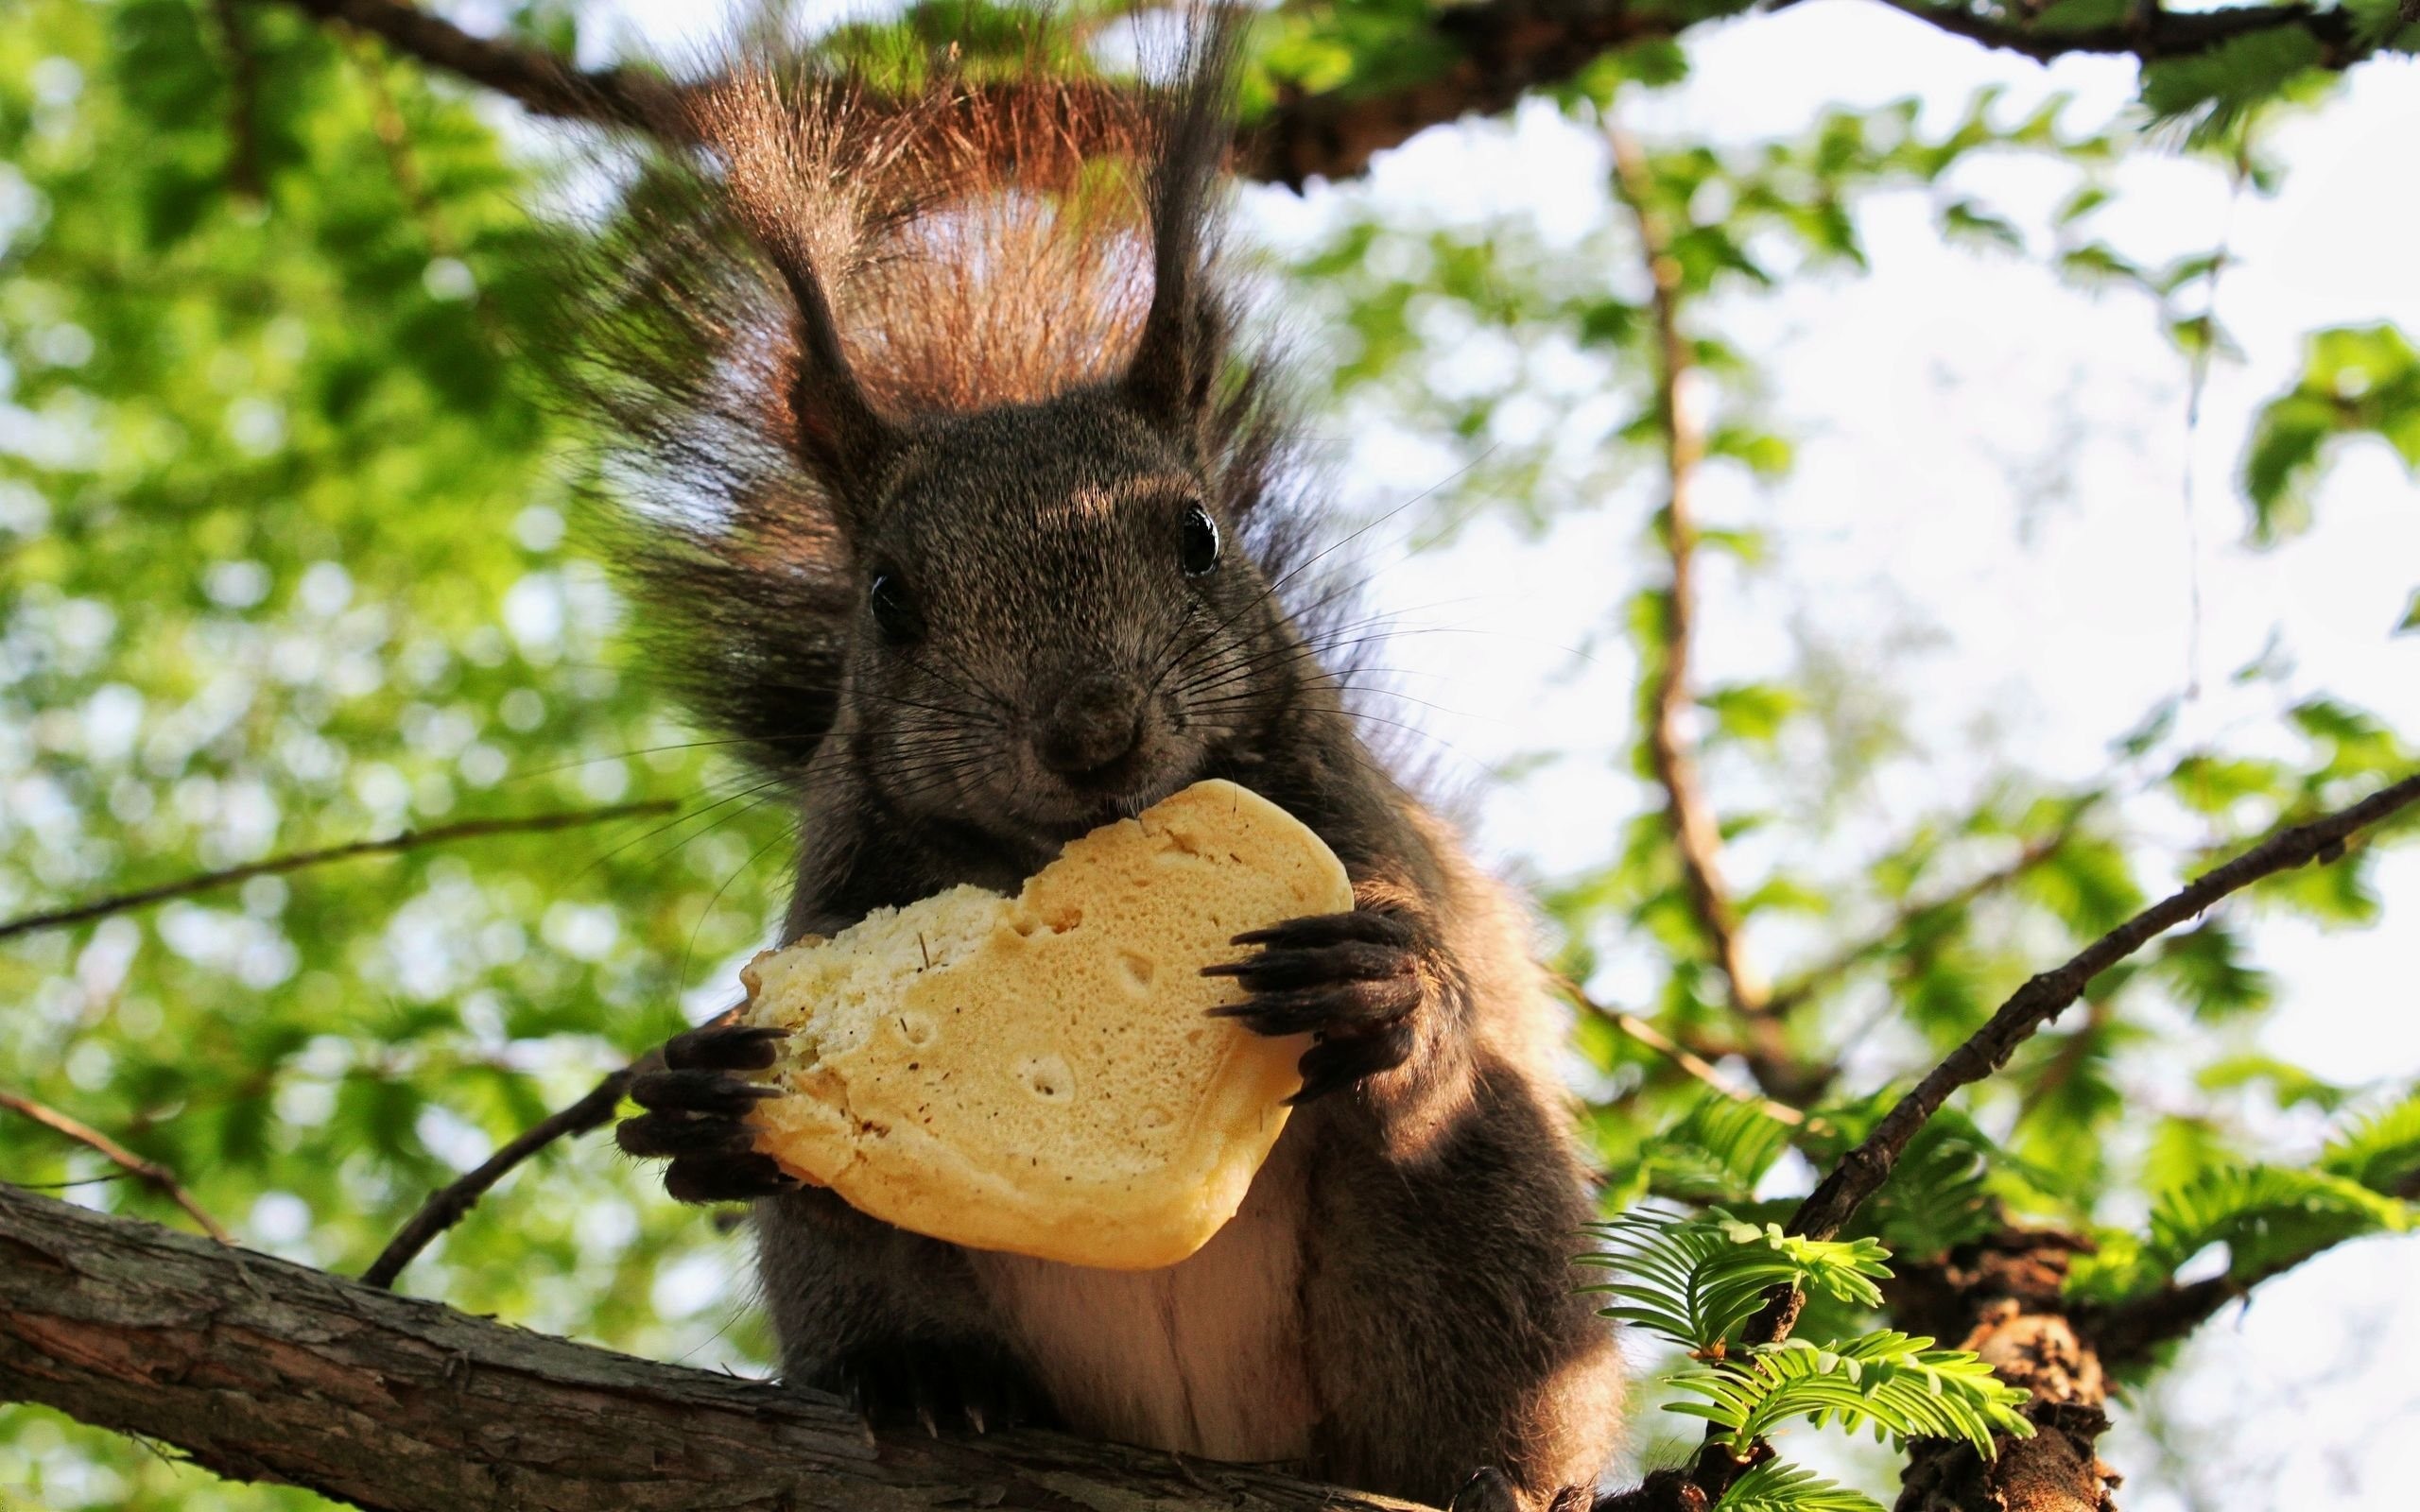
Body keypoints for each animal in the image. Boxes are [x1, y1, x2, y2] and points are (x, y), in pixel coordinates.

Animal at [597, 14, 1624, 1510]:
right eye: (886, 600)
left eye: (1198, 537)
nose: (1091, 733)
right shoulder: (840, 884)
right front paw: (695, 1099)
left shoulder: (1354, 819)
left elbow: (1437, 969)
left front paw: (1385, 981)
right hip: (856, 1265)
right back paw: (925, 1380)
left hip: (1485, 1227)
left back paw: (1501, 1470)